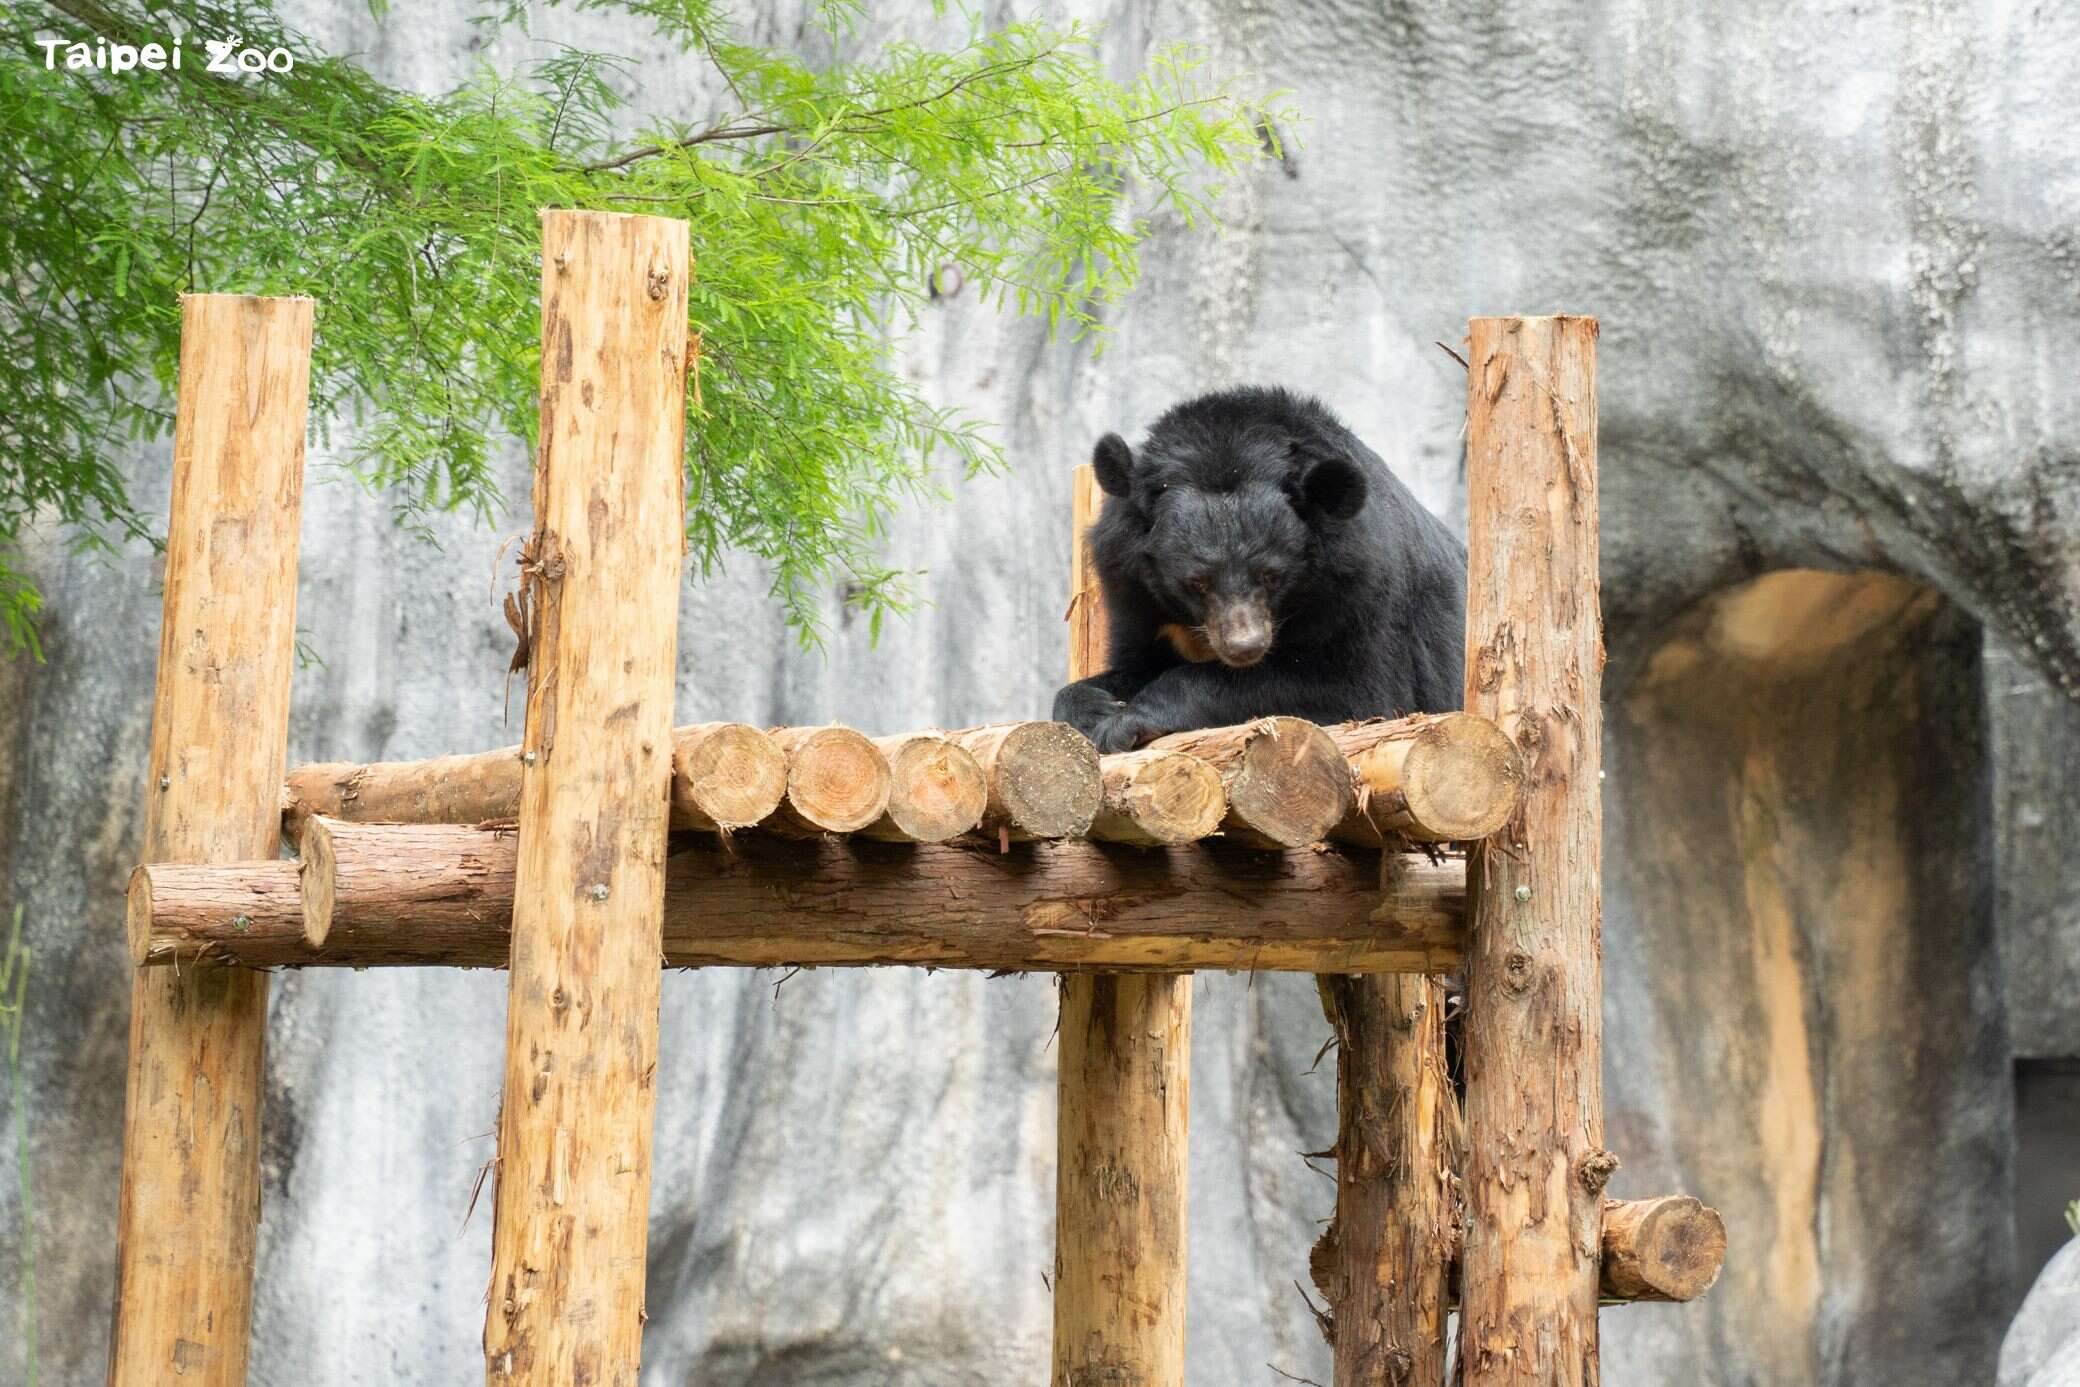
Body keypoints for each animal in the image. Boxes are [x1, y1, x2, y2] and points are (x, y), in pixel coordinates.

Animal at [1052, 386, 1466, 752]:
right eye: (1196, 582)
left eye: (1271, 575)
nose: (1244, 647)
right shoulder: (1135, 595)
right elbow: (1131, 662)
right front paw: (1097, 707)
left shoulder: (1361, 593)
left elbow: (1357, 692)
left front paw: (1126, 722)